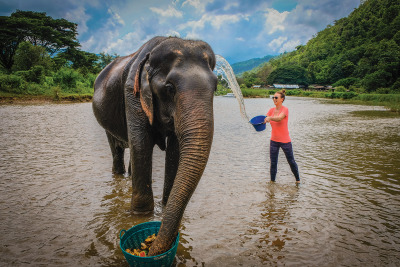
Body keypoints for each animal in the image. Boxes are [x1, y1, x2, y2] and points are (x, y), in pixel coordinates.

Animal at [92, 36, 217, 256]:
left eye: (216, 87)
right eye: (169, 88)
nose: (151, 251)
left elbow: (175, 150)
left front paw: (164, 206)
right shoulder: (132, 94)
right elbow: (142, 144)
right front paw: (140, 216)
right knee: (118, 149)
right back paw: (118, 173)